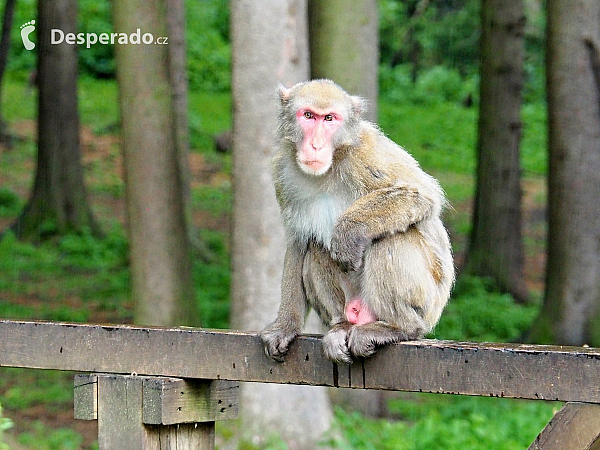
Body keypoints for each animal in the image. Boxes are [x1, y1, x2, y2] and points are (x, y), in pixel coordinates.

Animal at [260, 79, 452, 364]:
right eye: (308, 116)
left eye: (329, 118)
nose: (316, 144)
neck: (329, 168)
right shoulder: (282, 173)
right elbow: (298, 242)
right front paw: (285, 326)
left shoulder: (367, 153)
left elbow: (420, 194)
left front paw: (349, 231)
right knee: (317, 247)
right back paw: (341, 326)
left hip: (426, 305)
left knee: (391, 238)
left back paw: (399, 327)